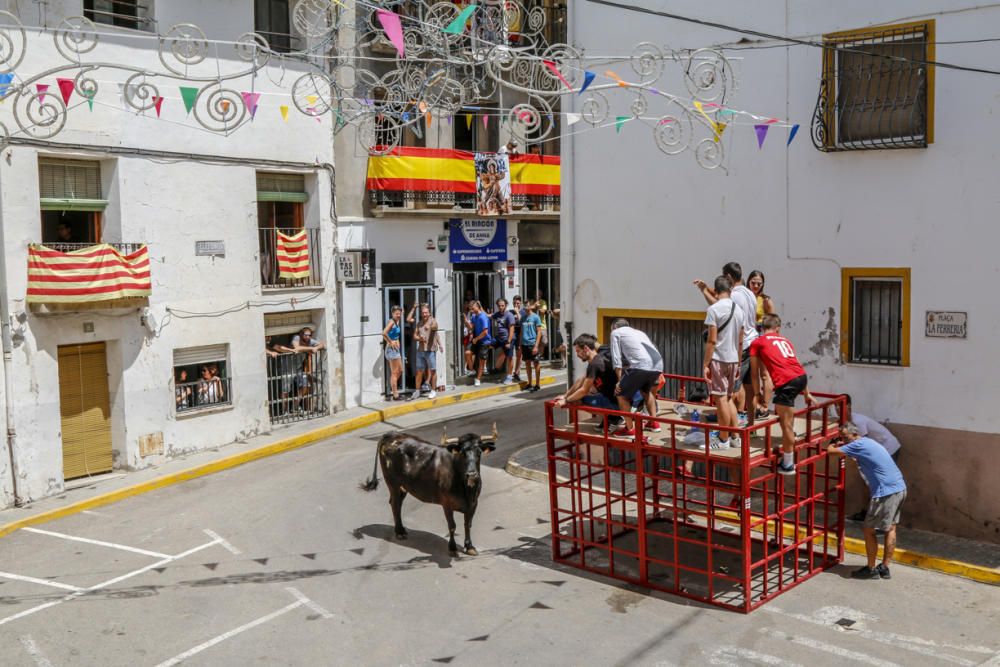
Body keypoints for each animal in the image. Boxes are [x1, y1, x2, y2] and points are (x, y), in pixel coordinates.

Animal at [364, 430, 496, 556]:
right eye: (462, 453)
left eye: (479, 452)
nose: (472, 474)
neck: (467, 490)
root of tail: (391, 434)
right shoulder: (447, 504)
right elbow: (452, 526)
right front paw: (452, 548)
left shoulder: (473, 503)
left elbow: (467, 524)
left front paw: (469, 547)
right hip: (393, 483)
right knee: (395, 504)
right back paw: (399, 532)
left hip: (403, 486)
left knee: (396, 503)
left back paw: (401, 530)